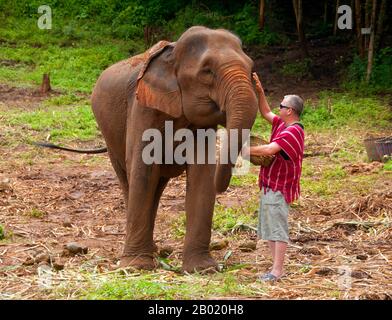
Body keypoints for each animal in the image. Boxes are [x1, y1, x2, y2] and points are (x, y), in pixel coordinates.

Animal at [90, 26, 258, 272]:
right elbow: (142, 169)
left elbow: (202, 175)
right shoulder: (143, 108)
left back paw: (154, 250)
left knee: (156, 187)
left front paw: (202, 269)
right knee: (129, 180)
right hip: (110, 139)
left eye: (251, 67)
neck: (172, 55)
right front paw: (136, 267)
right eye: (207, 71)